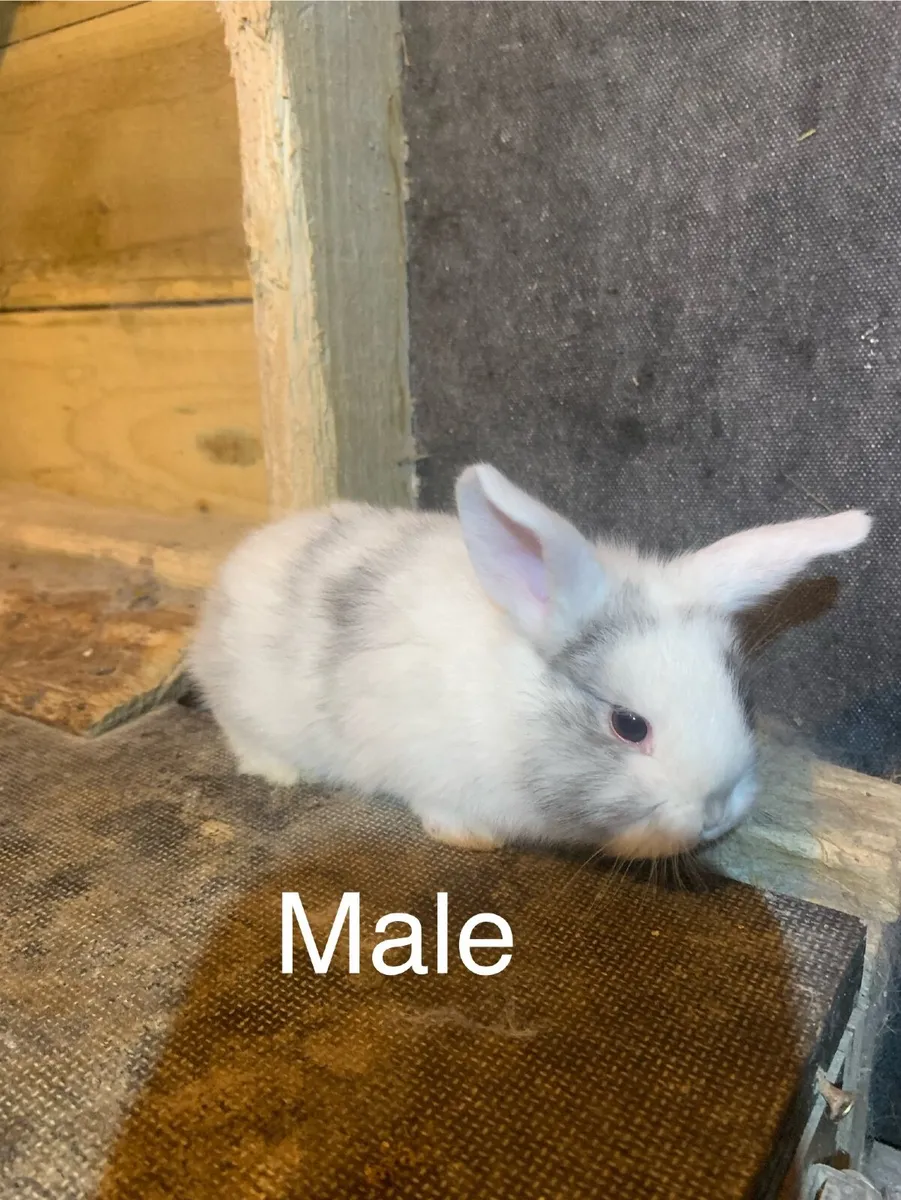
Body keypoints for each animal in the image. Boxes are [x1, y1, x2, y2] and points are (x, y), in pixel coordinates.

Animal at [187, 463, 871, 860]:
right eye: (628, 726)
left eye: (742, 700)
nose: (718, 808)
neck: (512, 711)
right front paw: (473, 840)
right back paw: (278, 772)